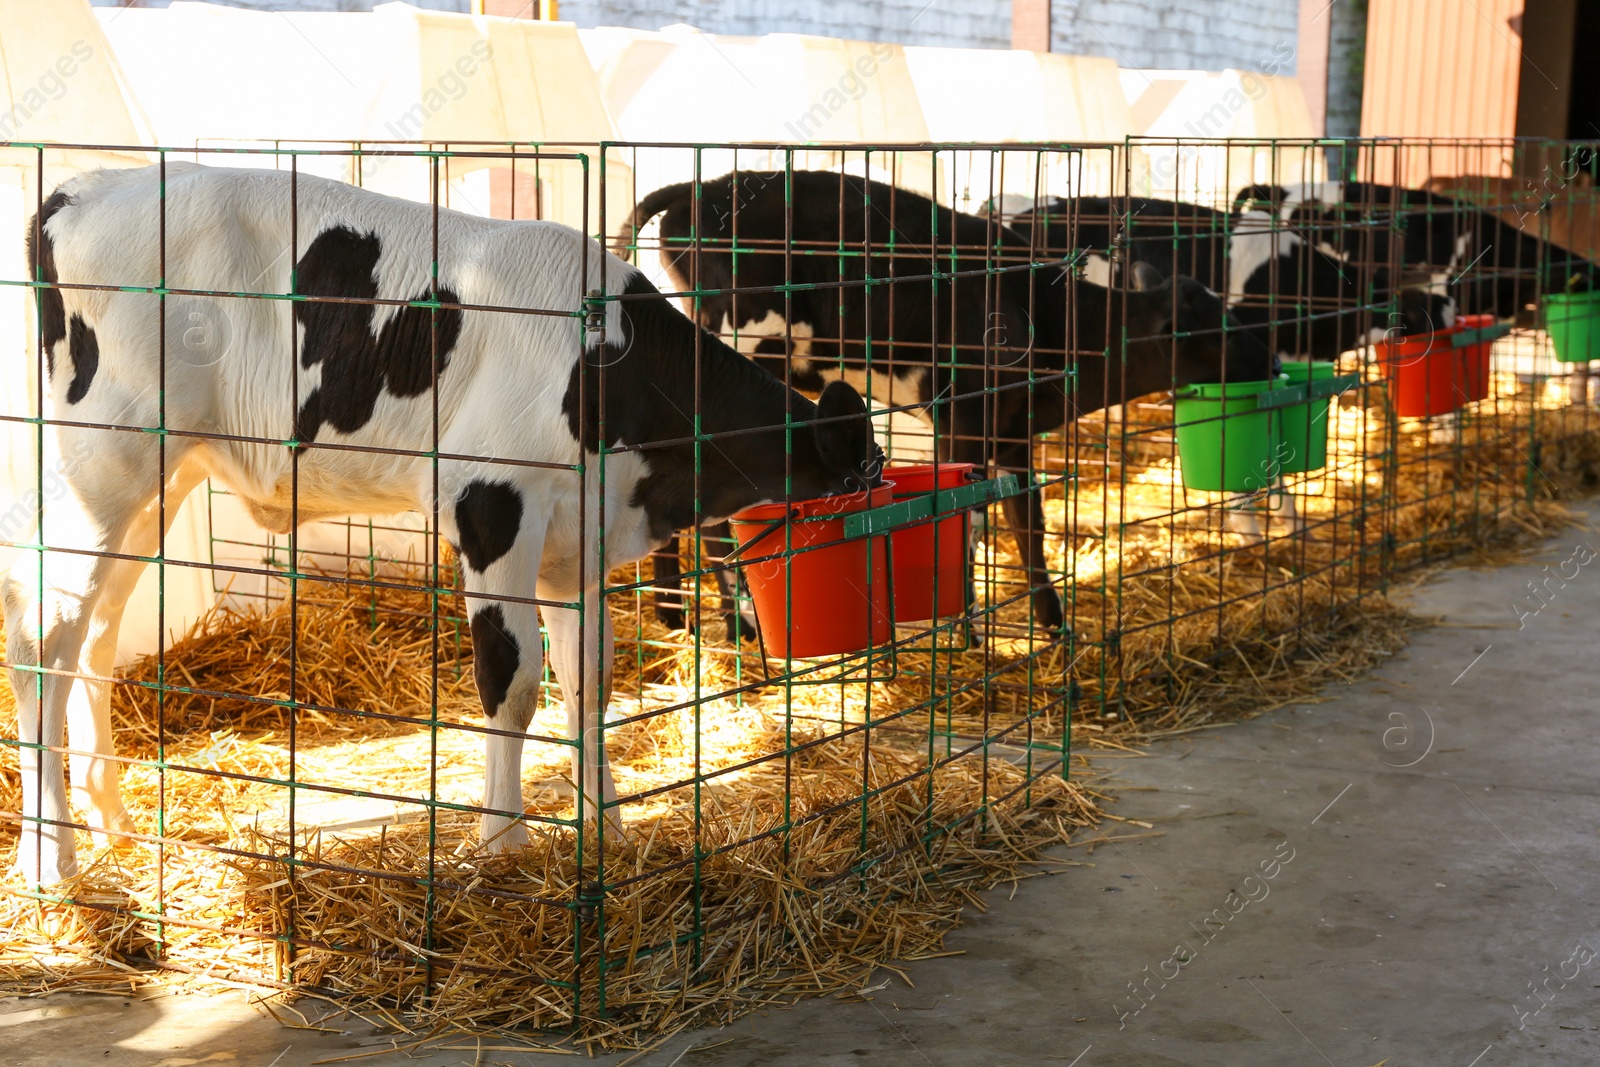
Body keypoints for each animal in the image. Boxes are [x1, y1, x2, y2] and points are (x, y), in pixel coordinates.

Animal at [3, 164, 876, 883]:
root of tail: (85, 186)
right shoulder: (491, 503)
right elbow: (511, 681)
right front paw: (502, 842)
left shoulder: (577, 544)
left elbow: (587, 682)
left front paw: (606, 828)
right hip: (103, 462)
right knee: (41, 639)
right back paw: (52, 860)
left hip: (160, 481)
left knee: (96, 635)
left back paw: (113, 821)